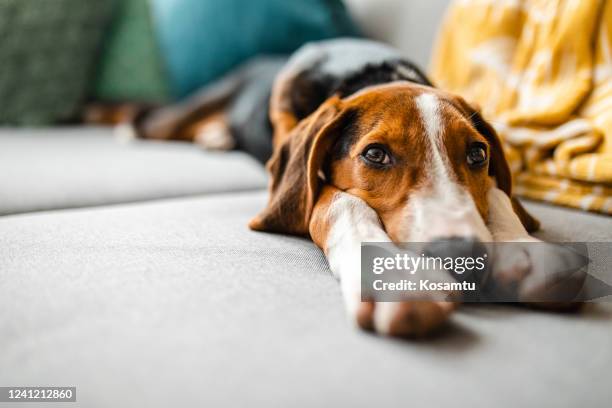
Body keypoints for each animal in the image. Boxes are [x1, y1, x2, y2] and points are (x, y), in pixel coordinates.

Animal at [109, 39, 584, 338]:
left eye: (477, 154)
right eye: (375, 155)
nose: (462, 256)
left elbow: (500, 195)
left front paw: (525, 253)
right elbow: (339, 203)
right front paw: (397, 280)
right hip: (193, 105)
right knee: (147, 120)